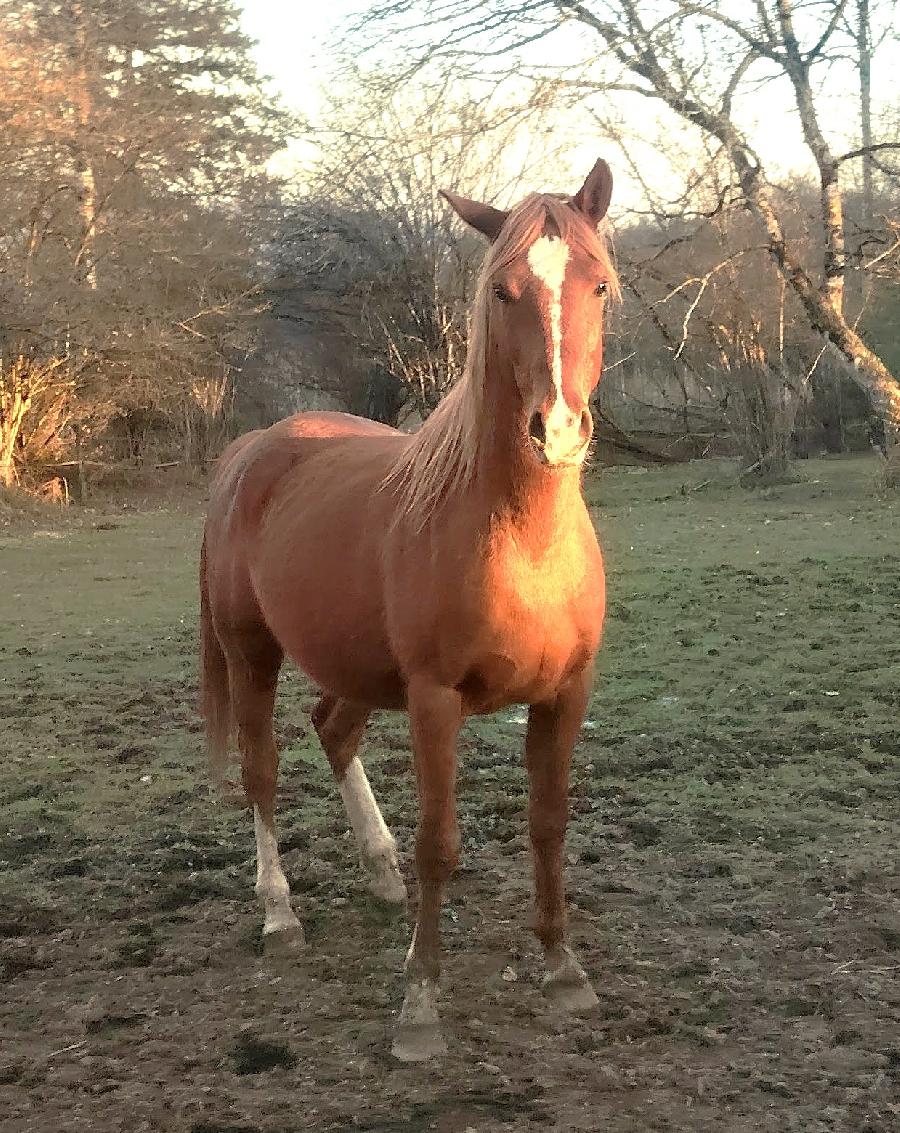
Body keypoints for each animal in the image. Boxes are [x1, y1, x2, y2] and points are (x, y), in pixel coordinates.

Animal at [199, 157, 618, 1061]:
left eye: (600, 283)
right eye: (501, 289)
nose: (558, 430)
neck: (521, 541)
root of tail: (253, 450)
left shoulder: (566, 694)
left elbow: (549, 823)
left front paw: (564, 969)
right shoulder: (434, 699)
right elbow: (441, 844)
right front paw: (420, 1005)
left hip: (355, 664)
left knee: (332, 729)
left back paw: (379, 871)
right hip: (253, 655)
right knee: (262, 770)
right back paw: (280, 913)